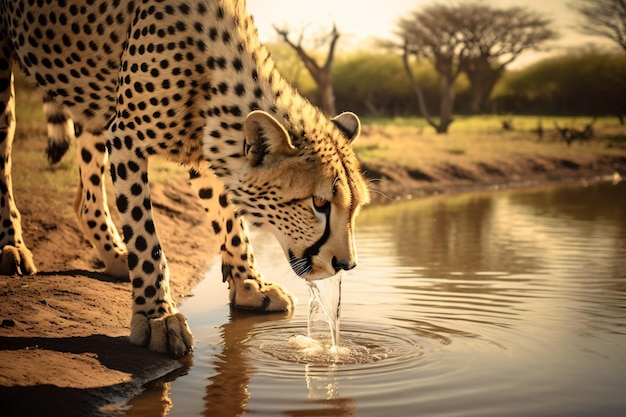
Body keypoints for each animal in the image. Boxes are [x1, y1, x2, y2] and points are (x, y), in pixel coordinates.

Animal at [0, 1, 368, 356]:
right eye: (318, 203)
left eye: (356, 208)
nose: (347, 264)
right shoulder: (126, 137)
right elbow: (145, 236)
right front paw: (157, 317)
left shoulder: (204, 153)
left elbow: (231, 221)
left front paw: (251, 286)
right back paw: (12, 247)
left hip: (91, 104)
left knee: (84, 197)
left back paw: (115, 255)